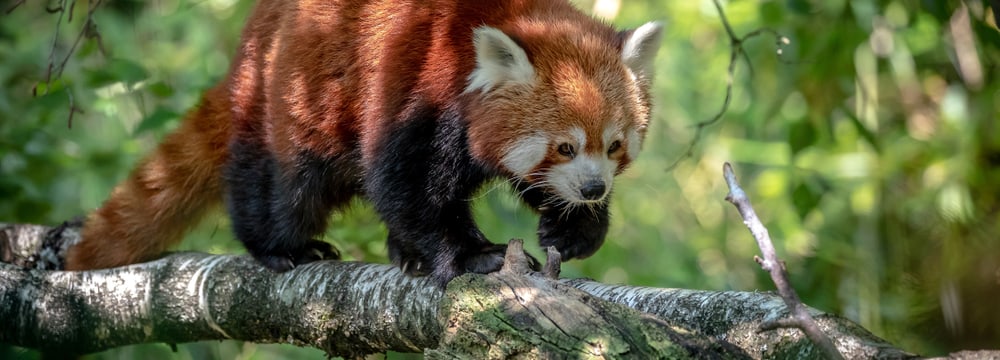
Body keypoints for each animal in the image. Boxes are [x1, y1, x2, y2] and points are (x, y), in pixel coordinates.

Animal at [60, 0, 656, 286]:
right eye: (564, 147)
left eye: (613, 146)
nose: (593, 189)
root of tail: (251, 40)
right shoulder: (416, 85)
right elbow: (406, 184)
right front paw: (474, 256)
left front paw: (573, 228)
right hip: (292, 96)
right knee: (283, 184)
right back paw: (282, 247)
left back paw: (405, 255)